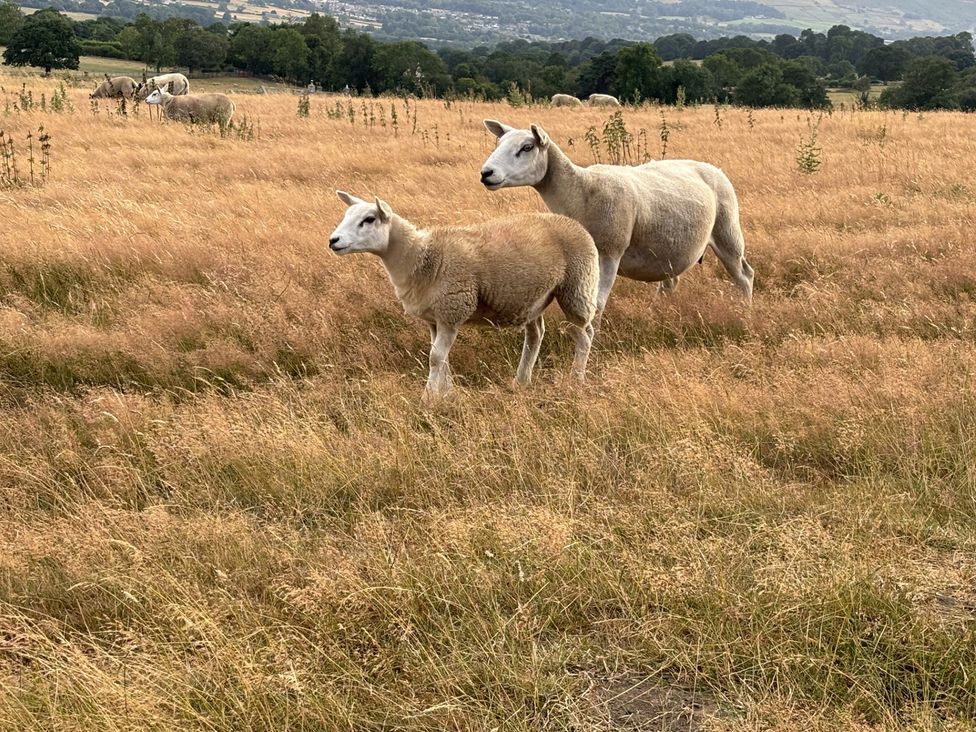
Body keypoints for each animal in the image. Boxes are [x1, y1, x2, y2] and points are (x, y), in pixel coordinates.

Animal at [328, 191, 600, 401]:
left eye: (369, 219)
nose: (333, 241)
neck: (421, 257)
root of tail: (573, 223)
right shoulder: (435, 318)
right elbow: (442, 358)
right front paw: (447, 395)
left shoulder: (452, 310)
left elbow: (435, 357)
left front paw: (428, 399)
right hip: (533, 298)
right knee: (536, 335)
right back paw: (521, 381)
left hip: (578, 286)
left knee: (586, 334)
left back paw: (576, 379)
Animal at [480, 119, 754, 329]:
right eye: (498, 144)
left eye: (527, 147)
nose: (486, 173)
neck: (580, 191)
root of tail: (712, 168)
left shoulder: (609, 253)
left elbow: (597, 305)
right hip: (670, 249)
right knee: (670, 283)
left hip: (727, 231)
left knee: (744, 276)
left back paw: (745, 312)